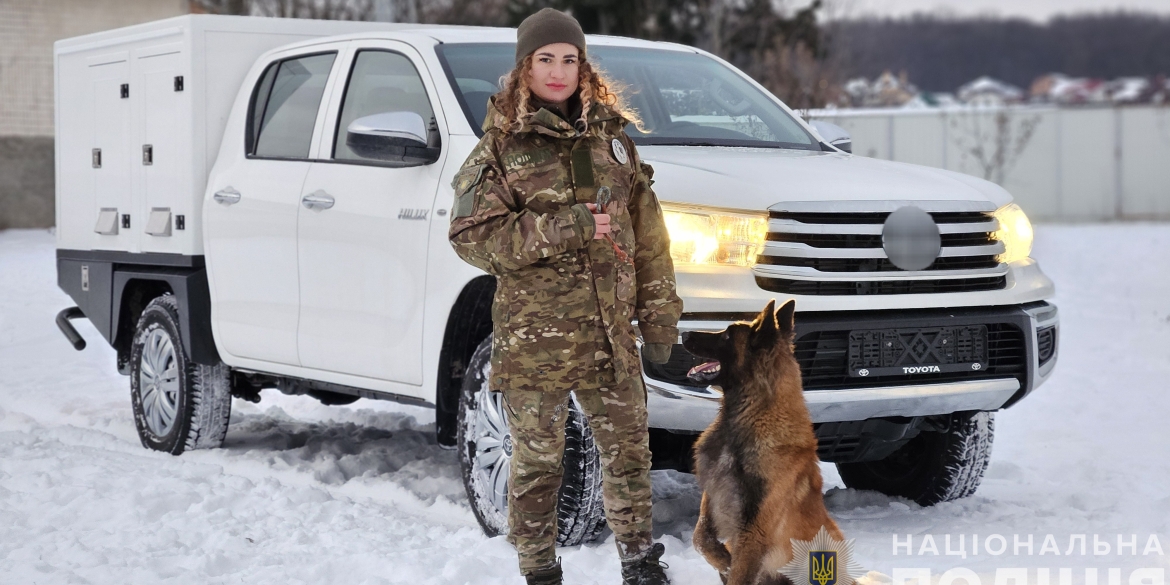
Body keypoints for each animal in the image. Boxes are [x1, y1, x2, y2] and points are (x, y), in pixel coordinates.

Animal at [683, 301, 847, 585]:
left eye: (727, 336)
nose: (684, 334)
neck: (753, 415)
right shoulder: (712, 497)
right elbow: (700, 538)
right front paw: (722, 558)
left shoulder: (756, 530)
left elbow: (739, 573)